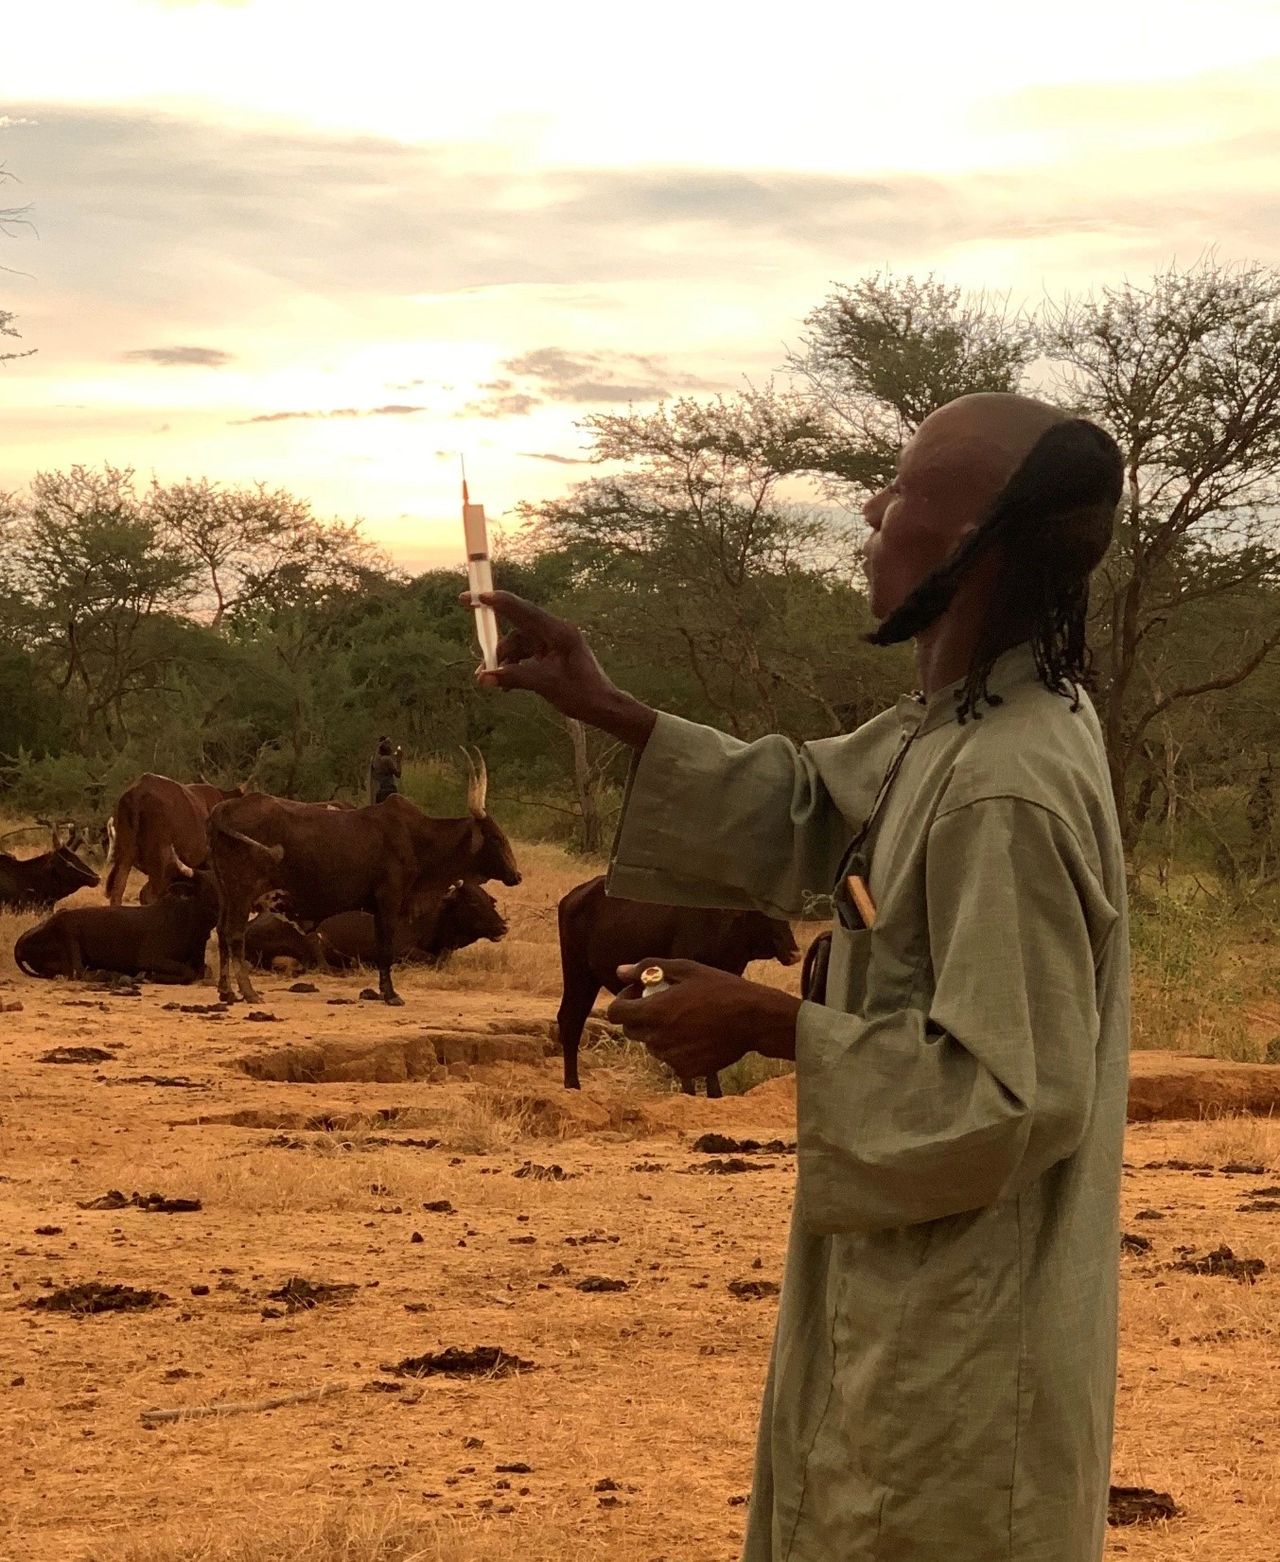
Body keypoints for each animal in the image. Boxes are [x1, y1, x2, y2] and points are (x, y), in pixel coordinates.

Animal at [14, 874, 220, 980]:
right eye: (208, 887)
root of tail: (19, 946)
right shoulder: (148, 957)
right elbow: (188, 972)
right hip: (68, 928)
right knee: (78, 971)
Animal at [210, 752, 522, 999]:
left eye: (491, 901)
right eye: (495, 837)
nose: (516, 875)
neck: (417, 838)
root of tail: (222, 809)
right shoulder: (389, 900)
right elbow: (385, 947)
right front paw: (391, 994)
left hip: (226, 893)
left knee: (223, 933)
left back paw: (227, 992)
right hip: (243, 891)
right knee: (234, 934)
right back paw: (248, 992)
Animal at [553, 880, 797, 1099]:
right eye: (765, 914)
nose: (794, 953)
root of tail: (573, 896)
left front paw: (714, 1094)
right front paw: (690, 1092)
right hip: (578, 974)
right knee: (571, 1021)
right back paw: (572, 1084)